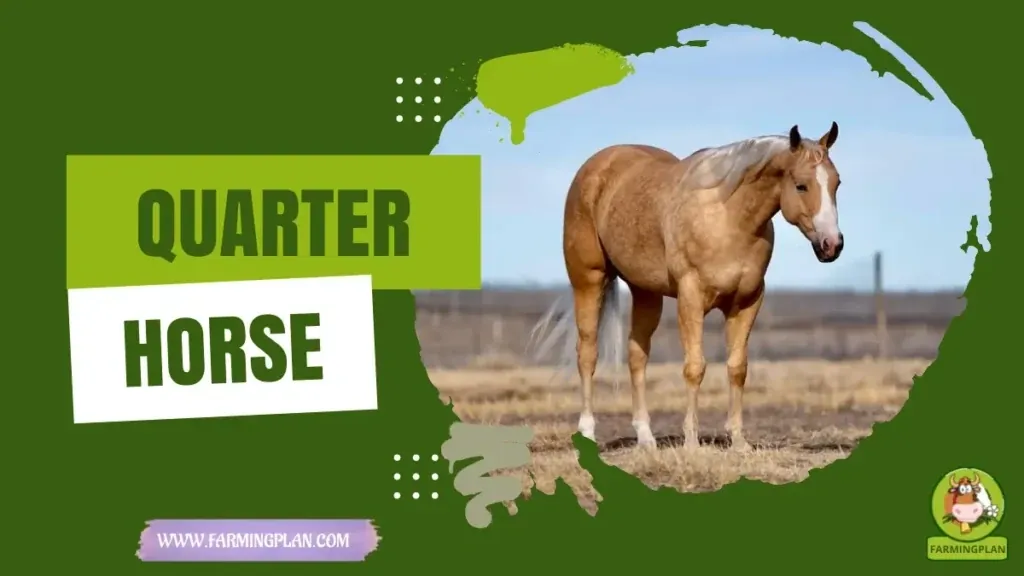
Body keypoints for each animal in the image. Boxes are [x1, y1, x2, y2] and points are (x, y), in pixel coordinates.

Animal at [529, 123, 844, 451]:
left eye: (837, 183)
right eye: (801, 185)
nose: (832, 245)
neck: (728, 217)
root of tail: (595, 166)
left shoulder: (747, 302)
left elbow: (737, 368)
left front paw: (738, 441)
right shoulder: (690, 298)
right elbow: (695, 368)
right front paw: (691, 442)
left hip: (646, 292)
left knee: (636, 356)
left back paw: (646, 438)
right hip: (588, 280)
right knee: (588, 353)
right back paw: (588, 433)